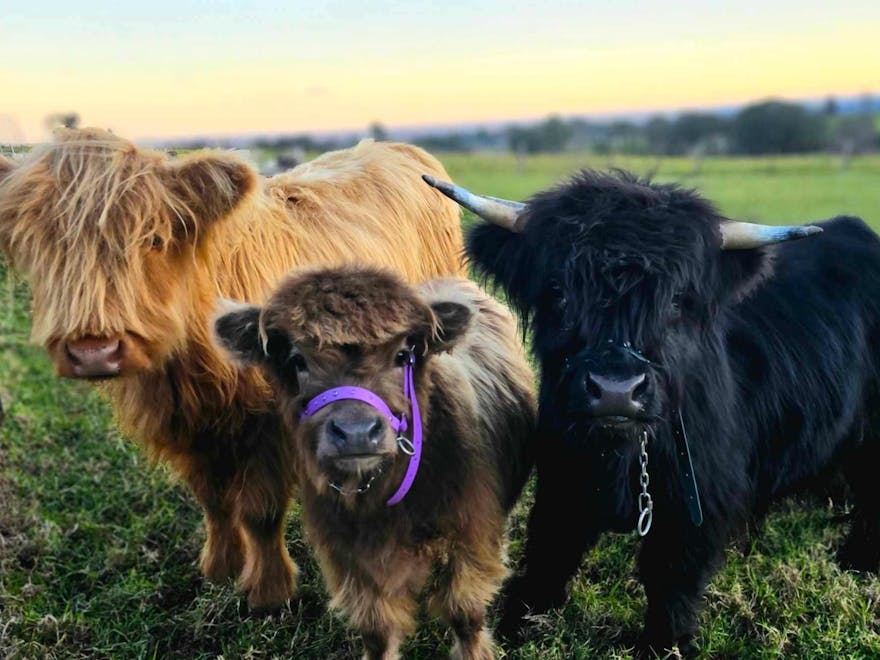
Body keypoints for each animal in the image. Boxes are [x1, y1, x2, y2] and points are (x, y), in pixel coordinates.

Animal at [0, 127, 464, 612]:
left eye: (153, 239)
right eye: (42, 246)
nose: (94, 350)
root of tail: (399, 148)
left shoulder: (270, 427)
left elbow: (261, 512)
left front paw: (269, 593)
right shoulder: (187, 425)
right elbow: (214, 501)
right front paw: (220, 568)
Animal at [212, 266, 536, 660]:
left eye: (402, 355)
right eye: (298, 360)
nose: (356, 432)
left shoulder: (471, 534)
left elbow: (465, 611)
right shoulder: (351, 558)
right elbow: (378, 629)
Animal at [423, 171, 880, 655]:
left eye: (677, 299)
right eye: (559, 293)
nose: (615, 391)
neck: (620, 455)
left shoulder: (694, 502)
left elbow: (671, 580)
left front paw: (665, 644)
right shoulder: (562, 478)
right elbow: (549, 551)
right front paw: (516, 623)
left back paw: (858, 561)